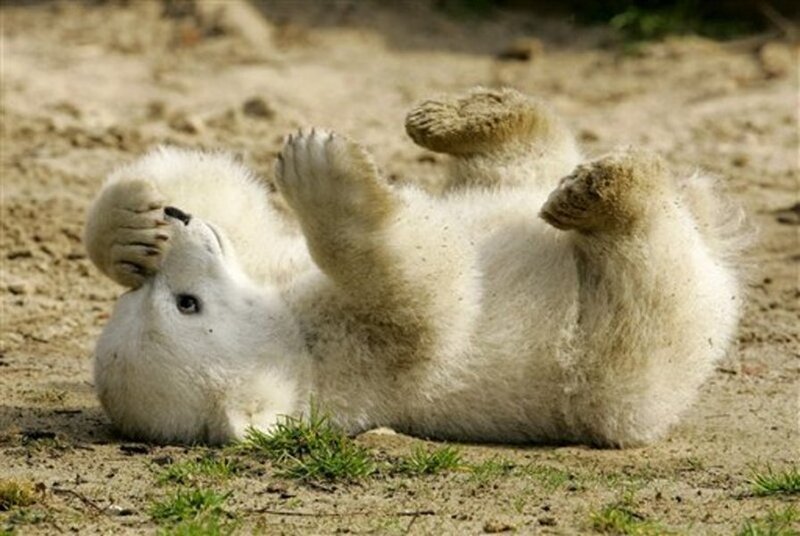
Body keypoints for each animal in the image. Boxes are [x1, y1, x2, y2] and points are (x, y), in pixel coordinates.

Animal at [83, 87, 747, 447]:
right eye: (187, 304)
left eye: (153, 295)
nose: (179, 225)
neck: (301, 348)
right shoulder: (364, 359)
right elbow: (429, 293)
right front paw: (317, 168)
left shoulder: (270, 264)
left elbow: (238, 209)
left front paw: (133, 230)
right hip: (625, 359)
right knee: (645, 278)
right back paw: (601, 193)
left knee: (516, 166)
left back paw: (456, 117)